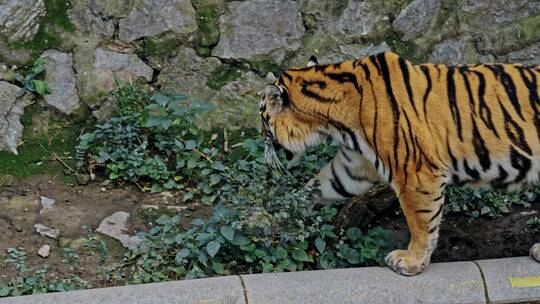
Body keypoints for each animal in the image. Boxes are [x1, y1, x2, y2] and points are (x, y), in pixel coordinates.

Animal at [260, 52, 536, 276]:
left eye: (262, 117)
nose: (263, 144)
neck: (333, 121)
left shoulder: (415, 171)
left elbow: (421, 221)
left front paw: (411, 262)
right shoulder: (353, 166)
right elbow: (316, 187)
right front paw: (270, 217)